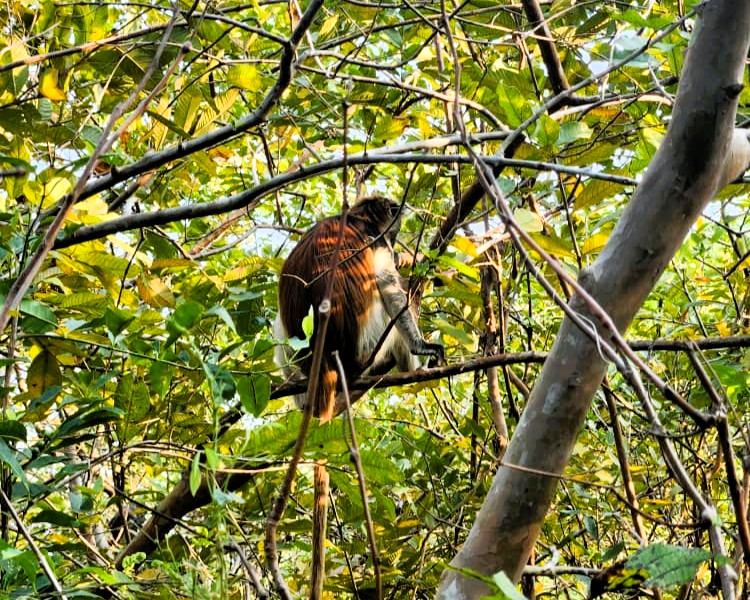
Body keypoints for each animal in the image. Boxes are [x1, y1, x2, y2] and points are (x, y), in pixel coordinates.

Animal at [273, 195, 444, 422]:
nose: (394, 239)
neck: (358, 218)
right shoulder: (377, 240)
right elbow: (386, 284)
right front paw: (421, 346)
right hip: (369, 344)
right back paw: (414, 370)